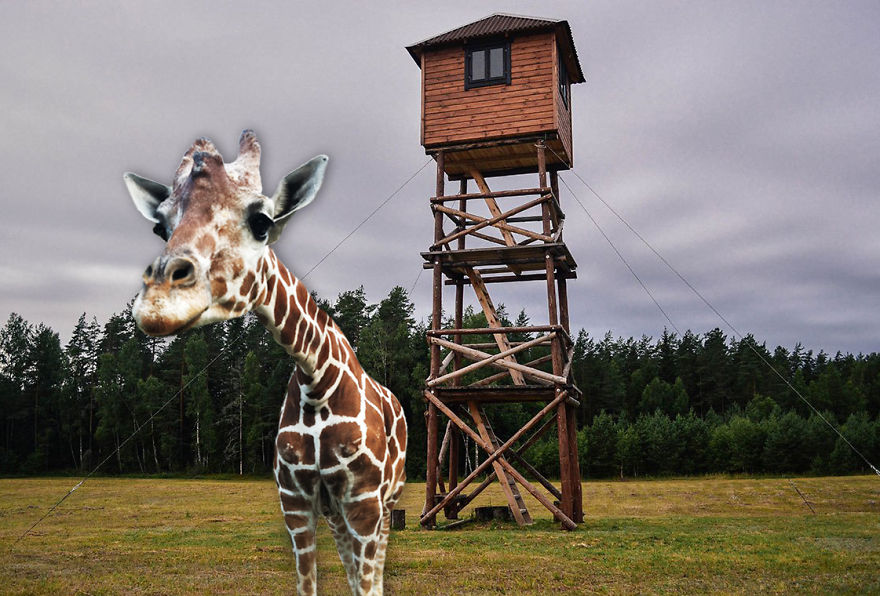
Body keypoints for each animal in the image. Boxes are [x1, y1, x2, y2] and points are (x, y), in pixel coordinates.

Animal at [123, 130, 407, 596]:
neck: (316, 381)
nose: (157, 303)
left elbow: (369, 583)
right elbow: (311, 584)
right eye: (160, 225)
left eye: (261, 221)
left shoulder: (364, 500)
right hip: (335, 511)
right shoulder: (295, 501)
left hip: (388, 502)